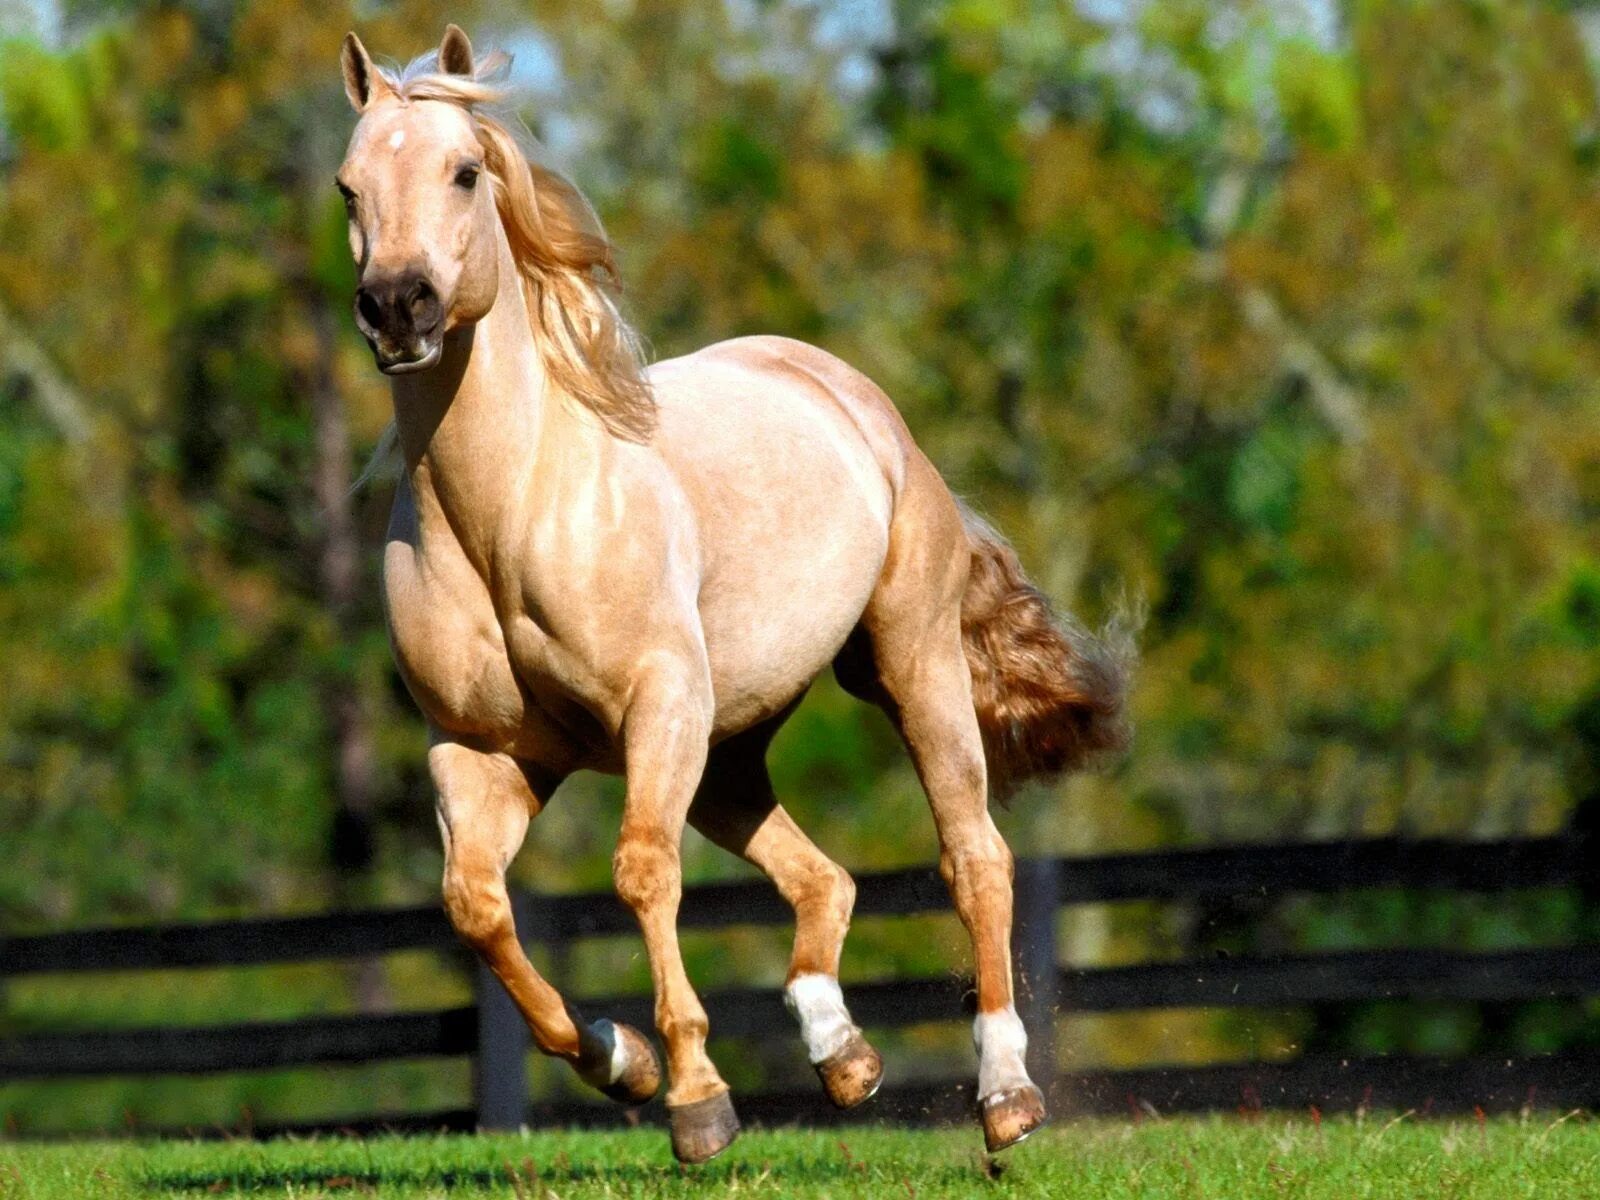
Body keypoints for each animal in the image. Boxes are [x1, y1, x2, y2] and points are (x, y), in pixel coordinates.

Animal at [334, 21, 1126, 1164]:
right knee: (821, 877)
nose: (399, 307)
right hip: (729, 743)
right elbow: (475, 908)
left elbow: (639, 873)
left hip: (908, 665)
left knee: (974, 857)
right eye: (349, 187)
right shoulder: (482, 752)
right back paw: (841, 1056)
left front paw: (697, 1101)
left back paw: (1006, 1093)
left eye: (464, 171)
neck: (512, 512)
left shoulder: (657, 707)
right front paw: (622, 1061)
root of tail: (857, 401)